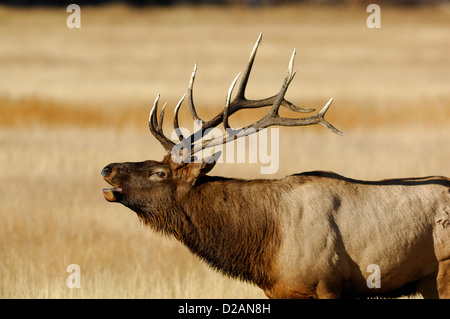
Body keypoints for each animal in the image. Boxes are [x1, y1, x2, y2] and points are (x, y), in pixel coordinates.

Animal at [102, 33, 450, 298]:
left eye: (158, 173)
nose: (107, 168)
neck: (265, 245)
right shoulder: (281, 291)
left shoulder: (329, 283)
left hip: (443, 271)